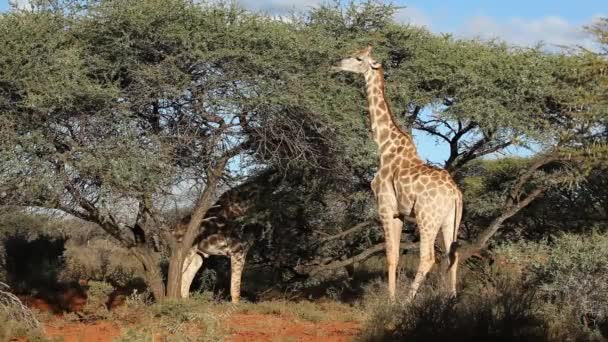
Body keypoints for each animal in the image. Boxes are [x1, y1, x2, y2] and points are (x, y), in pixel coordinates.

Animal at [330, 46, 464, 302]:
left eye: (359, 58)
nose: (336, 63)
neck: (384, 146)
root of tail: (455, 194)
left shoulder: (385, 207)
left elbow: (390, 255)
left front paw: (390, 300)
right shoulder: (400, 213)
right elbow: (396, 256)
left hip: (427, 217)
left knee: (428, 257)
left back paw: (408, 300)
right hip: (450, 219)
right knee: (453, 255)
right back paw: (450, 299)